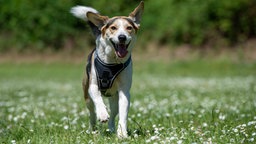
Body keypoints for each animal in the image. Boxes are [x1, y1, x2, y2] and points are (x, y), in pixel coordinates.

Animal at [70, 1, 144, 138]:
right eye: (113, 28)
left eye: (129, 28)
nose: (122, 37)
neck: (112, 62)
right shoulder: (93, 85)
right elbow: (98, 98)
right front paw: (103, 114)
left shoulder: (124, 91)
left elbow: (123, 113)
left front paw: (122, 133)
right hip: (87, 97)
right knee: (92, 113)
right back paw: (93, 129)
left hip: (114, 98)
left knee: (114, 113)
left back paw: (112, 129)